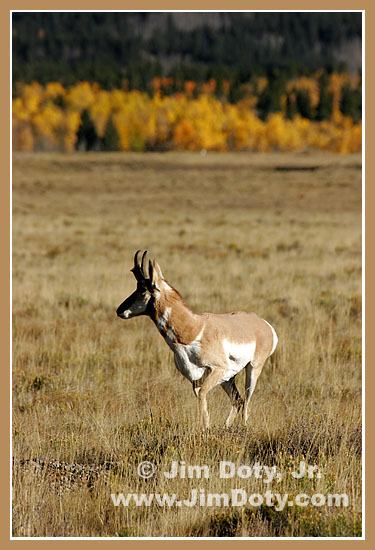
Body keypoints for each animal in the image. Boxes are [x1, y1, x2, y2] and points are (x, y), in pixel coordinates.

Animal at [116, 251, 278, 432]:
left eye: (143, 289)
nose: (119, 310)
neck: (193, 329)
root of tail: (263, 323)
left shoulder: (217, 369)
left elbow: (202, 396)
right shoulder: (196, 380)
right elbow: (202, 400)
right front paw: (206, 428)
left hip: (252, 369)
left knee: (247, 402)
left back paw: (243, 427)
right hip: (228, 378)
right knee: (238, 401)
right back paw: (225, 427)